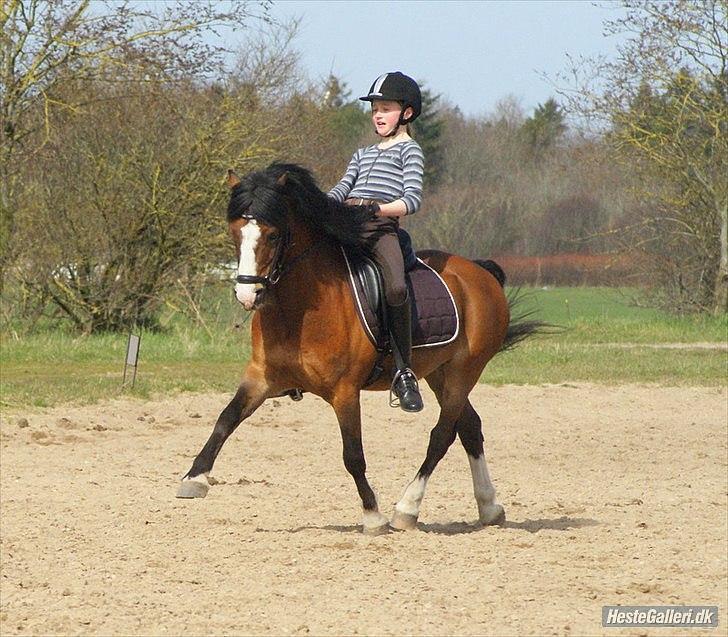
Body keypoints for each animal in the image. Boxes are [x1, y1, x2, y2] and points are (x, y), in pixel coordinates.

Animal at [177, 162, 540, 534]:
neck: (300, 308)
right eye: (235, 233)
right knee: (470, 428)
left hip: (463, 372)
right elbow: (225, 420)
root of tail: (480, 273)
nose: (247, 295)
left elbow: (352, 454)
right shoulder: (260, 378)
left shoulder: (345, 391)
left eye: (274, 235)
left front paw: (372, 515)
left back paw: (407, 508)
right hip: (440, 373)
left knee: (442, 434)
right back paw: (489, 507)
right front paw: (194, 479)